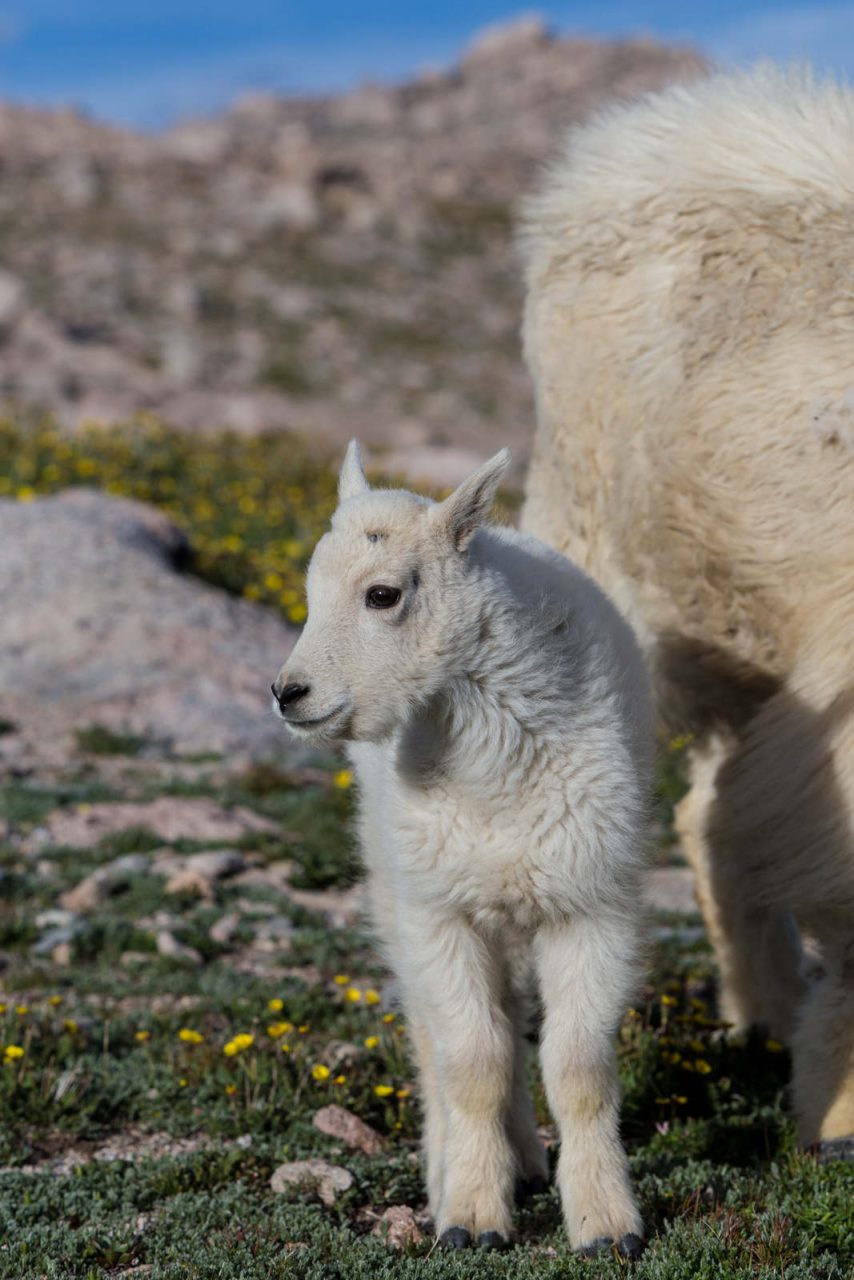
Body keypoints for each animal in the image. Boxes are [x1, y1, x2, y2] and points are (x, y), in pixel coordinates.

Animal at [271, 441, 654, 1254]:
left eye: (382, 594)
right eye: (311, 590)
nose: (290, 694)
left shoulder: (591, 903)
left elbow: (578, 1067)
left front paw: (607, 1224)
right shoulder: (439, 913)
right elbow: (473, 1061)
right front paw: (473, 1217)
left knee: (507, 1017)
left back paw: (530, 1164)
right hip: (400, 888)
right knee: (440, 1042)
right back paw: (455, 1170)